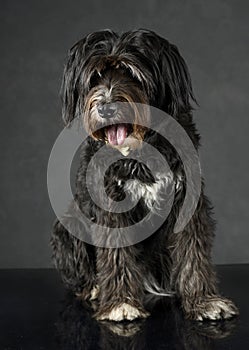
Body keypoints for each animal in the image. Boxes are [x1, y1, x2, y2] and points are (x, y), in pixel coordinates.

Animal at [50, 28, 237, 322]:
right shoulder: (112, 202)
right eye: (95, 77)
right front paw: (120, 304)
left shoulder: (187, 198)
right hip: (68, 225)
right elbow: (116, 255)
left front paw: (204, 302)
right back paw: (95, 288)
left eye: (130, 73)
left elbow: (193, 253)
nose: (105, 108)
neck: (139, 150)